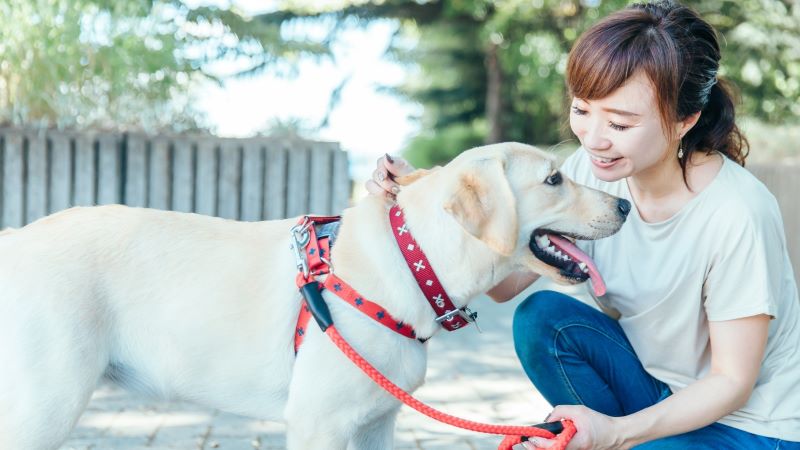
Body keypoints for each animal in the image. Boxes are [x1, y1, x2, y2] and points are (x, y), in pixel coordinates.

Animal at [0, 142, 624, 450]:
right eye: (554, 180)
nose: (624, 204)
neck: (414, 259)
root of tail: (16, 238)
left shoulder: (376, 425)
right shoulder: (316, 424)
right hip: (45, 406)